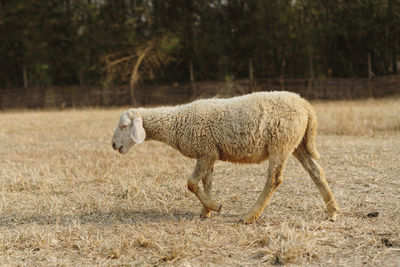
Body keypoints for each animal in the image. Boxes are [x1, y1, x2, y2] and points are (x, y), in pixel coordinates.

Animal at [111, 92, 340, 224]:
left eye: (124, 126)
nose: (113, 145)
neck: (178, 123)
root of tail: (305, 105)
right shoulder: (208, 152)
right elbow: (207, 182)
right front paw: (205, 211)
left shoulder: (206, 151)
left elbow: (191, 183)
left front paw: (215, 207)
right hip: (297, 143)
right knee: (316, 171)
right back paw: (332, 211)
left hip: (280, 143)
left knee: (275, 179)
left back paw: (249, 216)